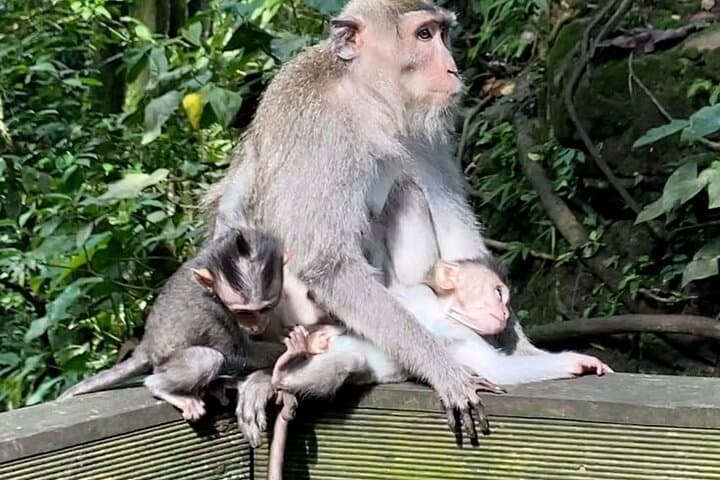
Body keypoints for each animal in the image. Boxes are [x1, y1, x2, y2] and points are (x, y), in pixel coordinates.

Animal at [58, 228, 288, 421]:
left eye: (265, 308)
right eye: (243, 312)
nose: (256, 327)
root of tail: (146, 348)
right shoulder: (211, 311)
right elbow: (238, 353)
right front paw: (287, 349)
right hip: (165, 362)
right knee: (206, 359)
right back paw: (162, 387)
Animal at [205, 0, 558, 445]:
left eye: (442, 33)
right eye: (424, 35)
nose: (452, 68)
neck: (367, 100)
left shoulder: (423, 132)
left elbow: (455, 228)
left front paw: (522, 347)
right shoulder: (320, 130)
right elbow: (327, 263)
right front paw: (443, 369)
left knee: (407, 190)